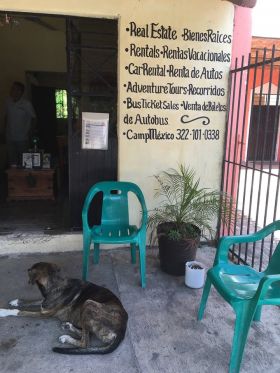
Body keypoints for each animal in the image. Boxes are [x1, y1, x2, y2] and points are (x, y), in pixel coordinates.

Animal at [0, 260, 128, 354]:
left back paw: (66, 337)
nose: (27, 270)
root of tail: (122, 329)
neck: (55, 284)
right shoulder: (44, 302)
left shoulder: (44, 314)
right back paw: (68, 326)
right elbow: (33, 301)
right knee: (86, 333)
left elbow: (21, 312)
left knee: (85, 343)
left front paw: (4, 312)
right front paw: (17, 301)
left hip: (88, 304)